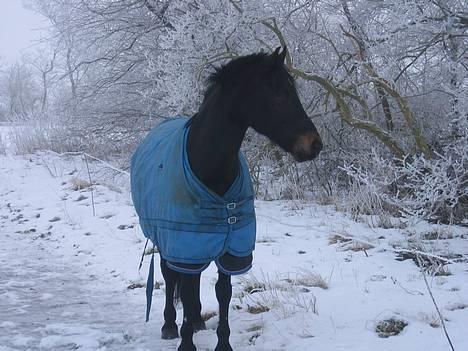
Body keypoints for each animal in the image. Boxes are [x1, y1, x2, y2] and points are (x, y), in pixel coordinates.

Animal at [131, 47, 322, 351]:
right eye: (280, 95)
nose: (314, 144)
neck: (208, 165)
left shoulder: (229, 247)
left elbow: (222, 293)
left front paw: (222, 343)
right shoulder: (184, 243)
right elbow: (184, 286)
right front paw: (186, 342)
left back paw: (197, 320)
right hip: (164, 239)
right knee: (170, 276)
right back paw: (170, 325)